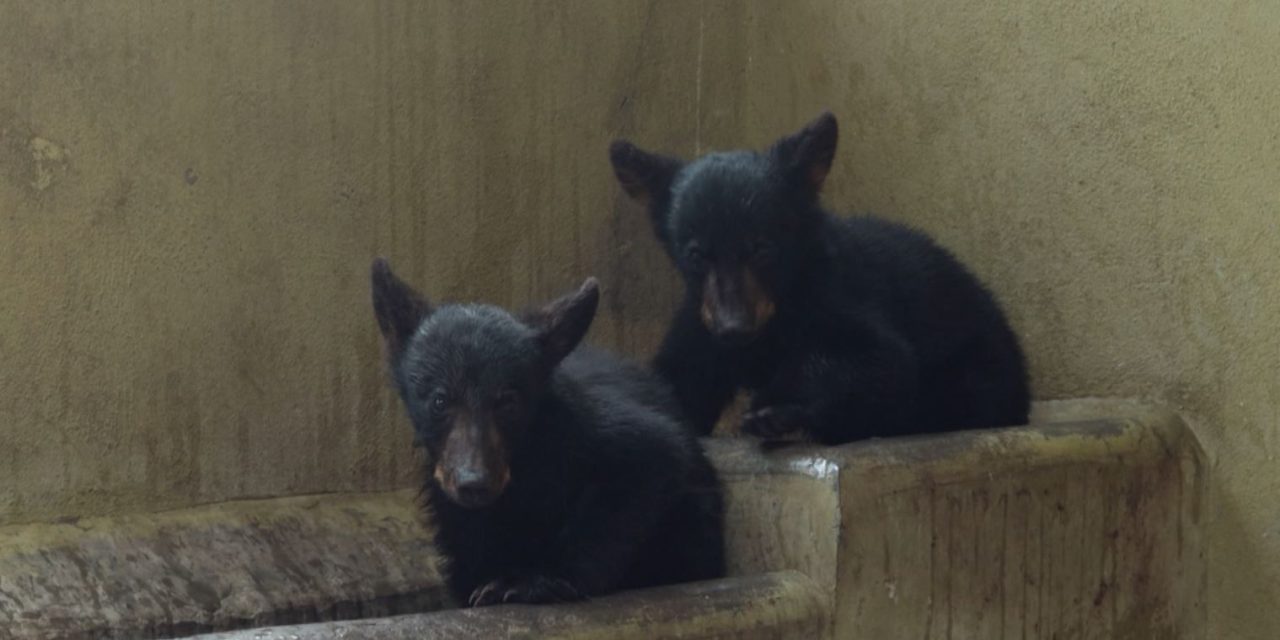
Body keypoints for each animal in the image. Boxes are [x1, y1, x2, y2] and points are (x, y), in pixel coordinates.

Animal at [370, 259, 725, 606]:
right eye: (440, 400)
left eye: (508, 401)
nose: (475, 483)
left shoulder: (600, 434)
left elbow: (653, 460)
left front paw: (539, 580)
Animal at [608, 112, 1031, 444]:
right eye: (696, 254)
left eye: (762, 247)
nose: (733, 328)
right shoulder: (701, 323)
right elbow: (672, 384)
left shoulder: (838, 296)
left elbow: (879, 359)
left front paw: (775, 405)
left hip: (975, 371)